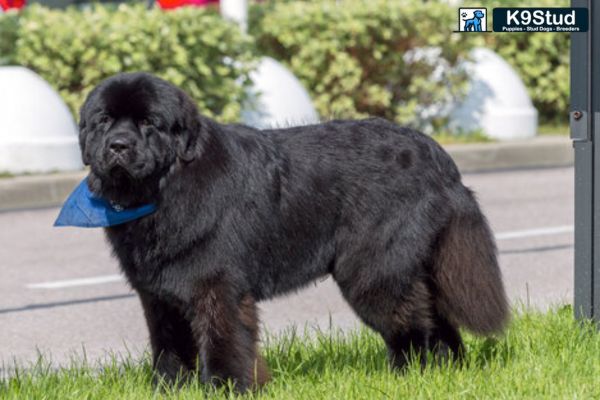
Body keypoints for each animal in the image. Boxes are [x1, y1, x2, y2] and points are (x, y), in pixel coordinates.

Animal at [77, 72, 508, 390]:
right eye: (104, 121)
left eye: (149, 123)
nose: (118, 145)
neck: (166, 187)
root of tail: (437, 156)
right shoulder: (159, 293)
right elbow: (168, 345)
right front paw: (169, 389)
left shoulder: (216, 286)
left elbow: (224, 340)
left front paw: (226, 388)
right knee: (436, 315)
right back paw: (448, 370)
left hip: (373, 269)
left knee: (412, 321)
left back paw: (407, 374)